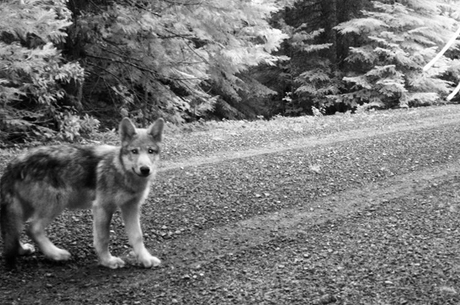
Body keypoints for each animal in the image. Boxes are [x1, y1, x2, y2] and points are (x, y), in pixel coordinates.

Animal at [0, 116, 165, 268]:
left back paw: (22, 250)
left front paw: (145, 259)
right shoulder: (102, 208)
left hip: (25, 210)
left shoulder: (131, 207)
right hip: (56, 204)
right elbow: (103, 239)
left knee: (13, 229)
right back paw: (56, 254)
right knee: (32, 229)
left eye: (150, 151)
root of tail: (14, 163)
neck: (121, 171)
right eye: (134, 151)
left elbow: (137, 236)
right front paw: (108, 261)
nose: (145, 169)